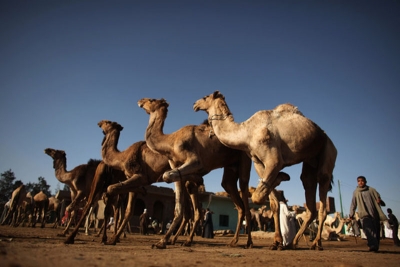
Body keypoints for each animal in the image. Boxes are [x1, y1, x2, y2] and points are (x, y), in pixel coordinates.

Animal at [90, 120, 203, 248]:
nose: (99, 123)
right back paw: (176, 240)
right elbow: (128, 210)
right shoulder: (133, 181)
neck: (123, 157)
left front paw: (109, 239)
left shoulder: (139, 176)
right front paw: (114, 238)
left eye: (107, 122)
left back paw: (183, 241)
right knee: (190, 210)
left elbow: (117, 200)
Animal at [138, 97, 253, 249]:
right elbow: (179, 203)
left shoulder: (194, 159)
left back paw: (249, 242)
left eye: (151, 100)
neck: (171, 141)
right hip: (230, 168)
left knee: (245, 194)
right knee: (234, 196)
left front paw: (164, 240)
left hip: (245, 158)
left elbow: (168, 175)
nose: (140, 101)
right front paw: (164, 240)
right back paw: (233, 241)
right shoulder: (175, 164)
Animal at [192, 91, 336, 251]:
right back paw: (293, 243)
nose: (195, 104)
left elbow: (258, 196)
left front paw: (282, 176)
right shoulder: (258, 163)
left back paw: (316, 243)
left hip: (328, 149)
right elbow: (272, 203)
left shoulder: (273, 159)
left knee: (323, 187)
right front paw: (276, 242)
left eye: (205, 97)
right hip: (310, 161)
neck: (247, 133)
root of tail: (324, 134)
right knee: (308, 188)